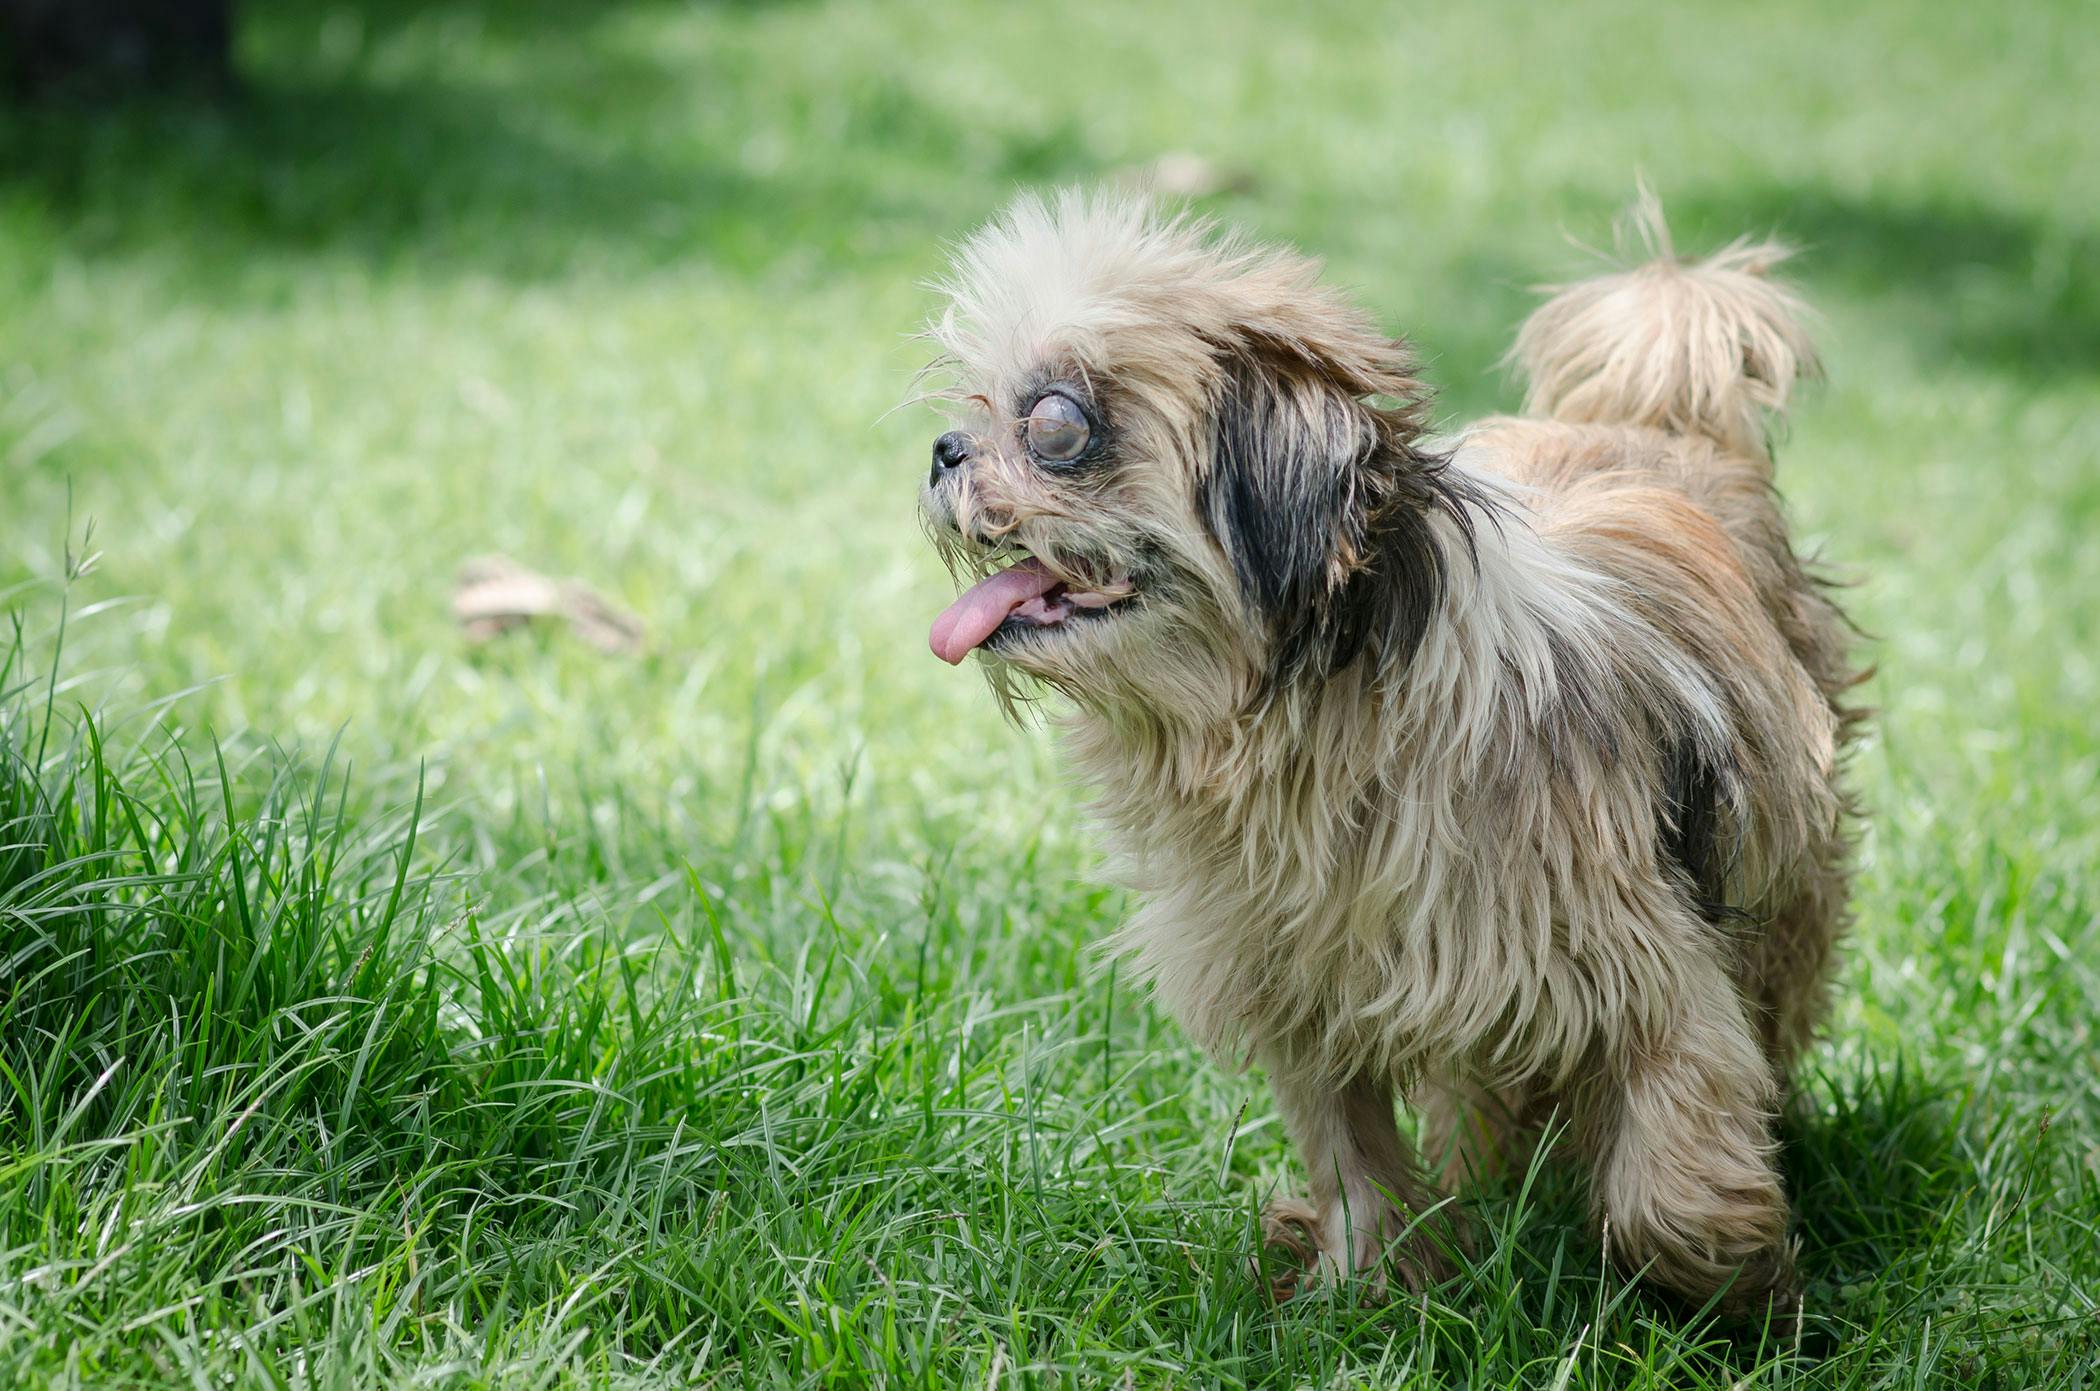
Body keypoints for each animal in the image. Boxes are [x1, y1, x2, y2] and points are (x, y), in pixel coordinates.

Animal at [911, 191, 1864, 1327]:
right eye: (974, 403)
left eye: (1057, 426)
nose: (944, 448)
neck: (1324, 718)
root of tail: (1663, 422)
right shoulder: (1299, 988)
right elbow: (1351, 1154)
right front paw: (1366, 1279)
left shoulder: (1655, 973)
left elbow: (1669, 1191)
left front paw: (1744, 1294)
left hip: (1778, 891)